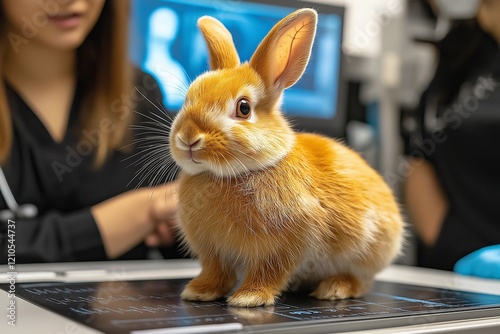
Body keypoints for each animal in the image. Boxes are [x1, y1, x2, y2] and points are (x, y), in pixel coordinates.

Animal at [170, 7, 404, 306]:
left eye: (244, 108)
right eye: (189, 97)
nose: (188, 138)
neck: (235, 173)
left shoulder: (284, 246)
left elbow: (269, 271)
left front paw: (248, 298)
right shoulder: (213, 252)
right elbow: (215, 271)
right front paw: (198, 292)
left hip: (366, 252)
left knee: (359, 280)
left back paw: (334, 289)